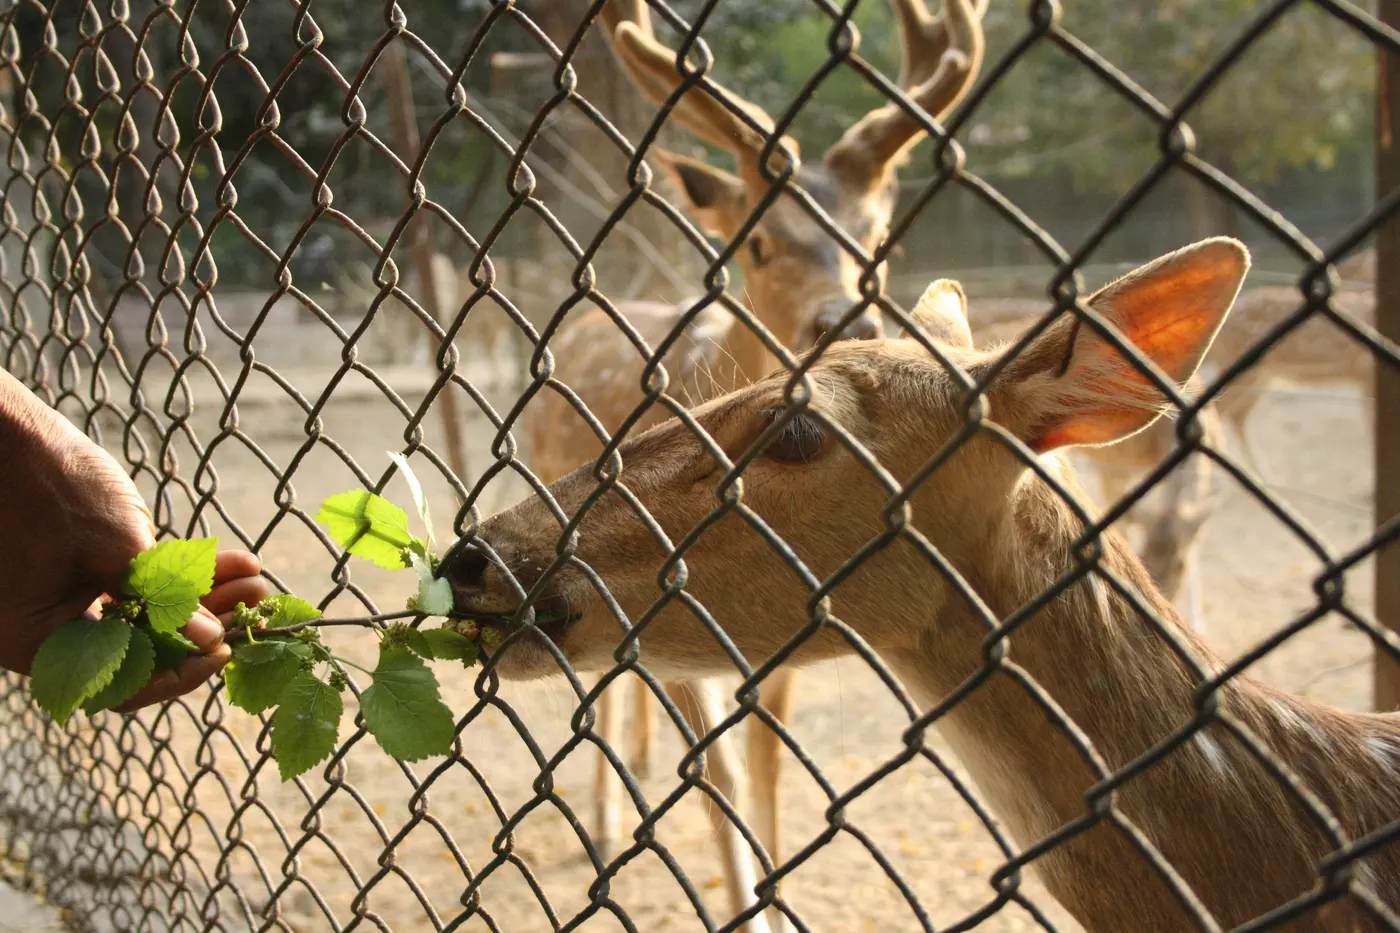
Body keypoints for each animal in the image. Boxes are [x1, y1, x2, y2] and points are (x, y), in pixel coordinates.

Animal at [523, 0, 985, 927]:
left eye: (877, 237)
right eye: (760, 243)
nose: (846, 320)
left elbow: (771, 759)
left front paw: (778, 890)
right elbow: (719, 771)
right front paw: (744, 903)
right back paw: (603, 820)